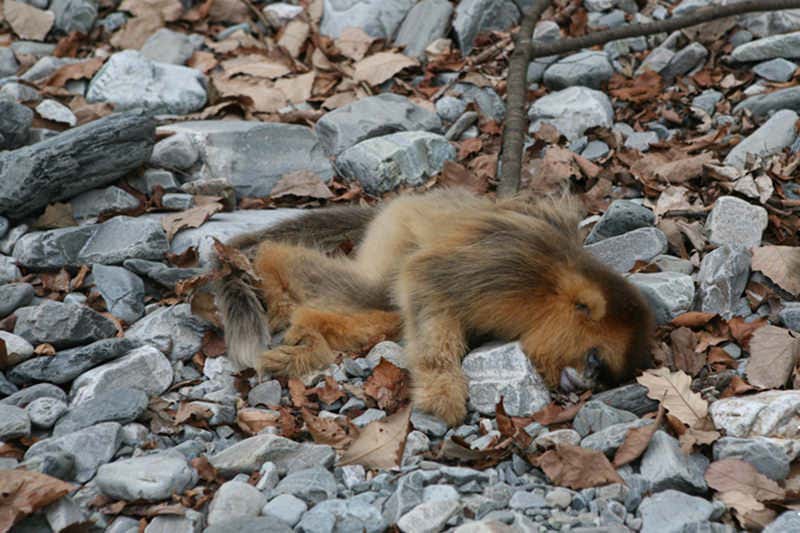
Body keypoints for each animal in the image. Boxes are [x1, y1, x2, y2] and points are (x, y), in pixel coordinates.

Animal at [216, 188, 654, 426]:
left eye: (600, 376)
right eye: (594, 359)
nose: (583, 384)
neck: (552, 290)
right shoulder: (513, 269)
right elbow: (424, 276)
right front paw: (442, 386)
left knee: (388, 312)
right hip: (397, 227)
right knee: (378, 289)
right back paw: (272, 266)